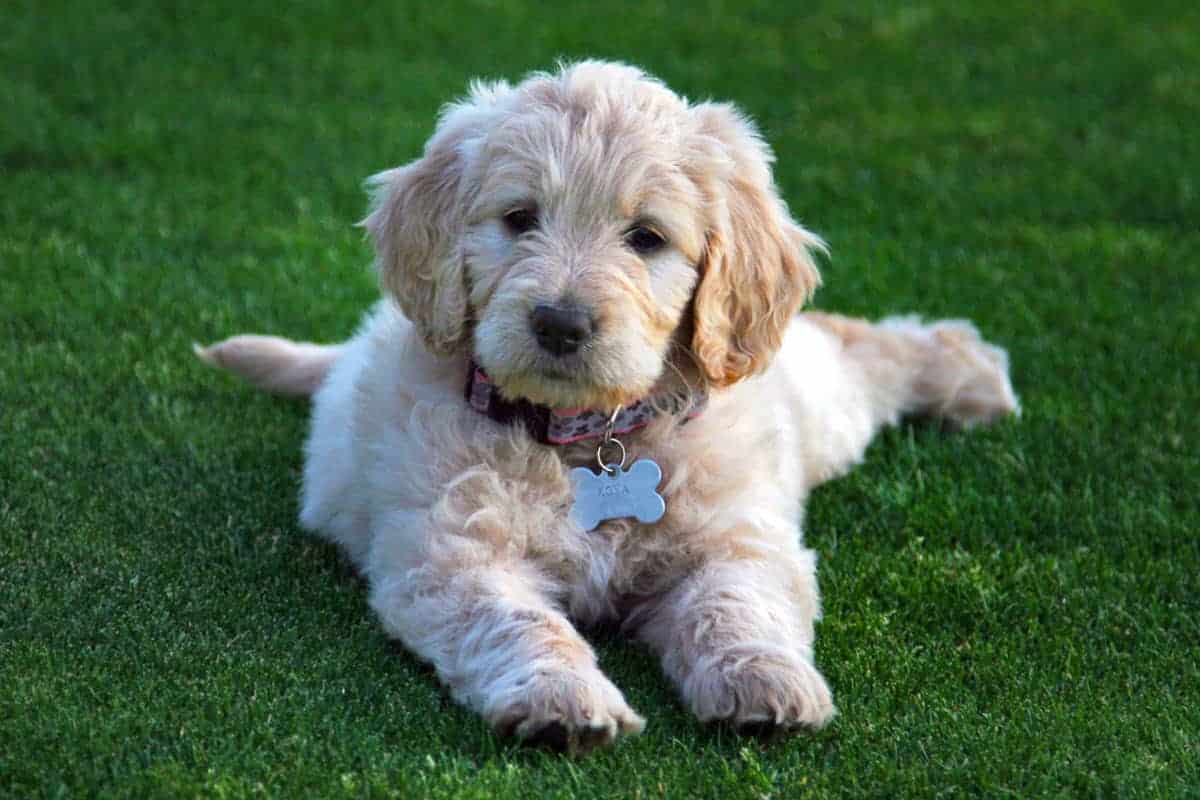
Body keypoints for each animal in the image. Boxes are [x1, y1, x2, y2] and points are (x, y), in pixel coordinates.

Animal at [199, 61, 1022, 753]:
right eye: (519, 219)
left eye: (646, 237)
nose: (560, 323)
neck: (589, 438)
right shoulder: (451, 552)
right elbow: (520, 621)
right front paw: (562, 699)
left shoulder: (735, 537)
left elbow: (736, 603)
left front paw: (763, 680)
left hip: (812, 403)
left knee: (856, 344)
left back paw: (964, 371)